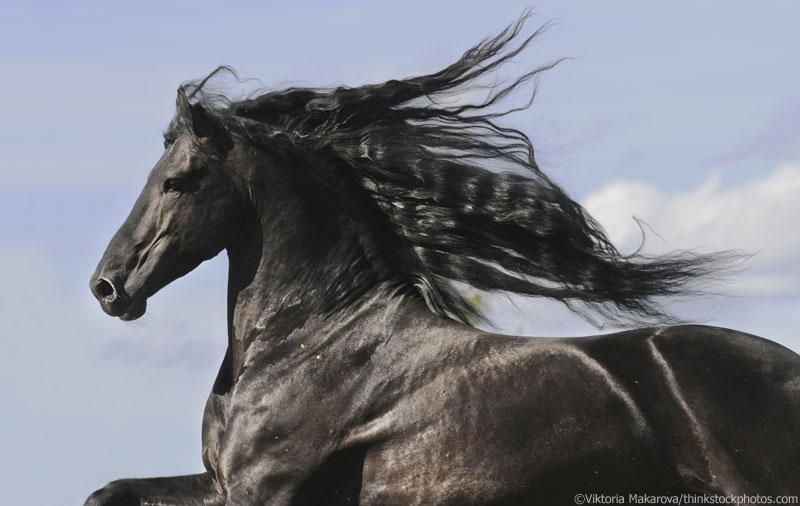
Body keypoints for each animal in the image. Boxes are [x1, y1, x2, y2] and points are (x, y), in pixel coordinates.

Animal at [84, 15, 796, 506]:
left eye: (178, 181)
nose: (107, 288)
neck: (311, 341)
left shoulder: (263, 489)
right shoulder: (220, 483)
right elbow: (106, 491)